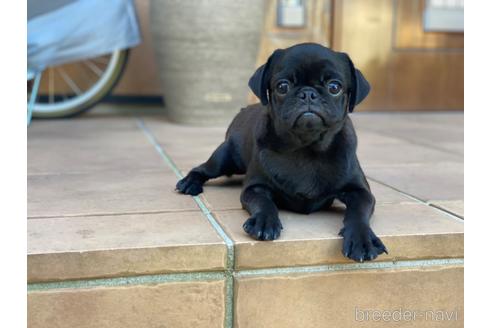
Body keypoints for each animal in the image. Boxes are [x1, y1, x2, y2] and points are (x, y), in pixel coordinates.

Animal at [177, 43, 388, 262]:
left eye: (334, 87)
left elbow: (358, 213)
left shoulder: (361, 192)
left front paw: (362, 239)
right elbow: (265, 203)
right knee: (202, 169)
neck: (306, 147)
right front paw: (263, 222)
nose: (308, 93)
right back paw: (190, 183)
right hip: (224, 158)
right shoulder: (255, 188)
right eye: (282, 87)